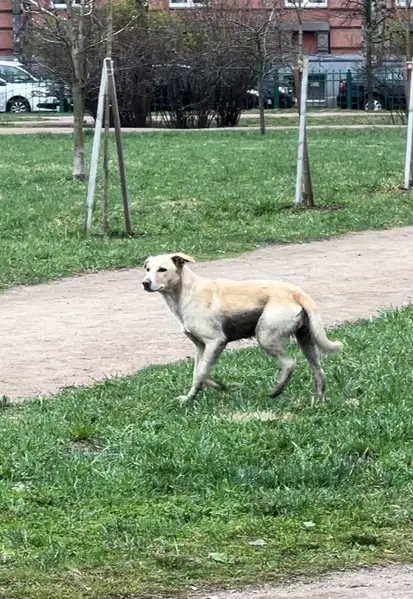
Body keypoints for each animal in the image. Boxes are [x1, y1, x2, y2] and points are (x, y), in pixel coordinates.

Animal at [142, 252, 342, 405]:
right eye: (147, 269)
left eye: (162, 269)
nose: (145, 283)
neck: (186, 291)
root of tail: (296, 292)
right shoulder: (200, 346)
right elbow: (196, 375)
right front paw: (189, 398)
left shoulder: (216, 342)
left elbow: (202, 372)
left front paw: (220, 386)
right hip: (306, 341)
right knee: (319, 373)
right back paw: (319, 401)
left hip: (265, 336)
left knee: (289, 363)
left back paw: (275, 391)